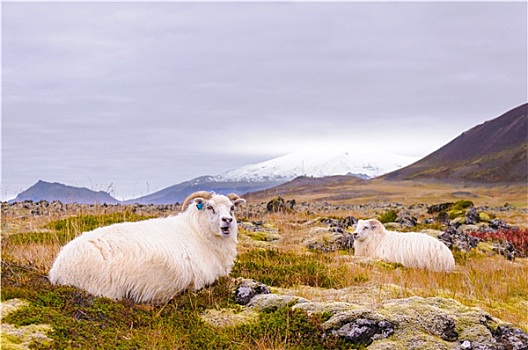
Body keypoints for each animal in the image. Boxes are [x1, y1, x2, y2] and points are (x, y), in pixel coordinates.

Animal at [48, 191, 245, 304]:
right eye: (210, 207)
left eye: (232, 208)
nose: (227, 221)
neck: (198, 232)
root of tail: (57, 269)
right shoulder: (201, 279)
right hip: (104, 287)